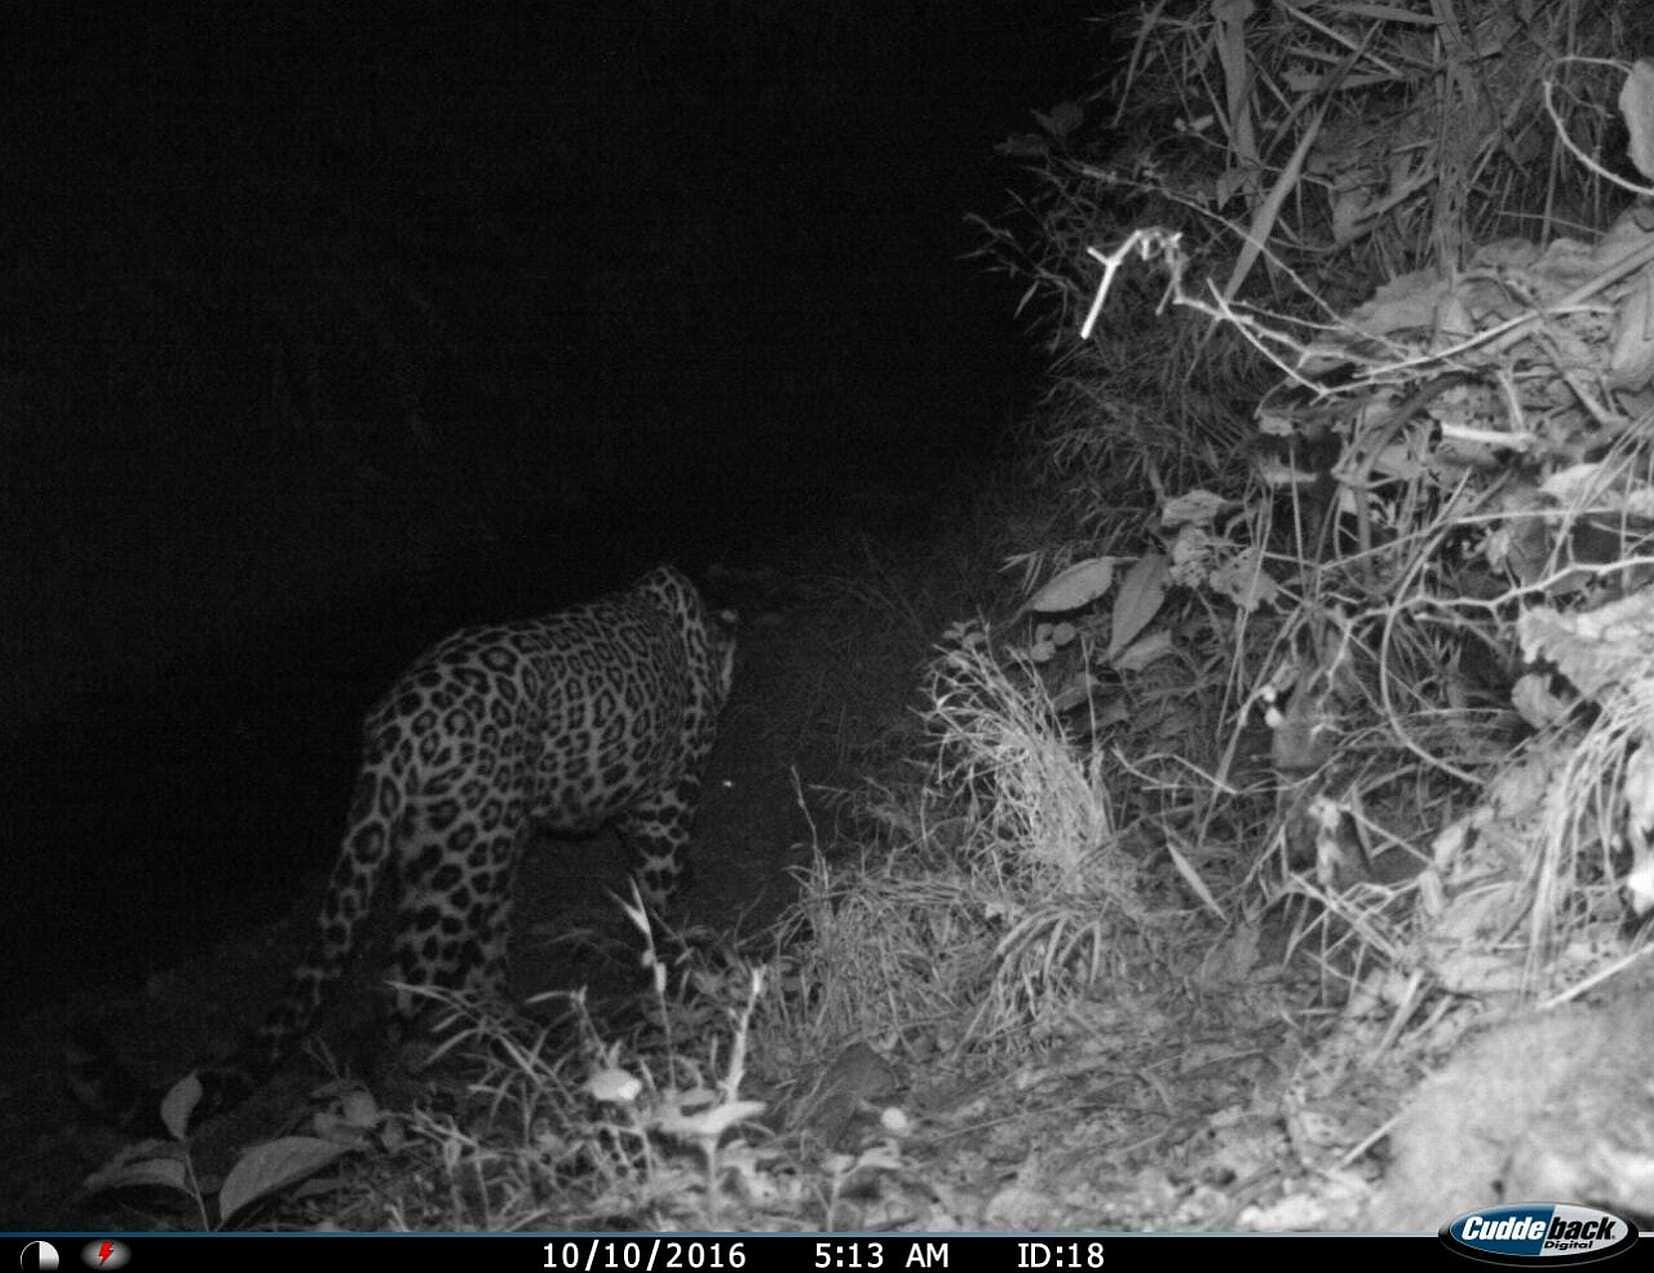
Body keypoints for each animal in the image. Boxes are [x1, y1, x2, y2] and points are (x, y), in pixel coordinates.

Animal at [69, 563, 737, 1131]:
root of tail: (397, 722)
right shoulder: (669, 799)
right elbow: (663, 887)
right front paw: (685, 955)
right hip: (460, 873)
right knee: (390, 999)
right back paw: (395, 1101)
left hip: (460, 847)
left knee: (472, 966)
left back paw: (509, 1030)